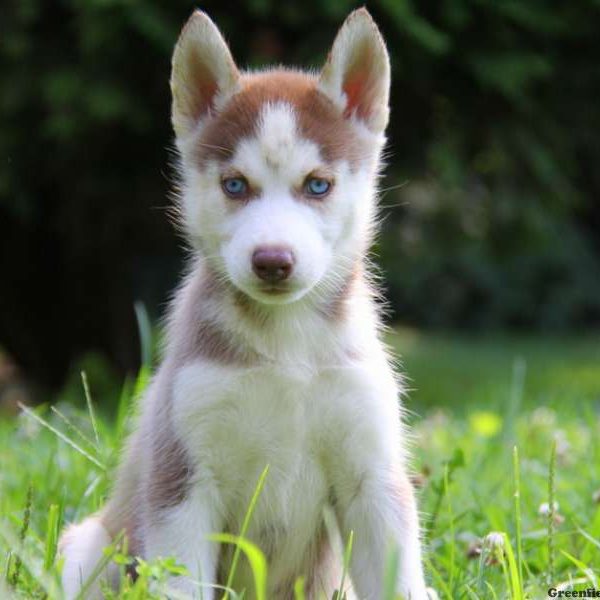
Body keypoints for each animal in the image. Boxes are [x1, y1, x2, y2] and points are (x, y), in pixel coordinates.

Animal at [59, 9, 426, 600]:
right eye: (235, 185)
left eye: (317, 185)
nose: (272, 260)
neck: (287, 346)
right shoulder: (182, 480)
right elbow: (181, 579)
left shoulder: (371, 476)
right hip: (89, 546)